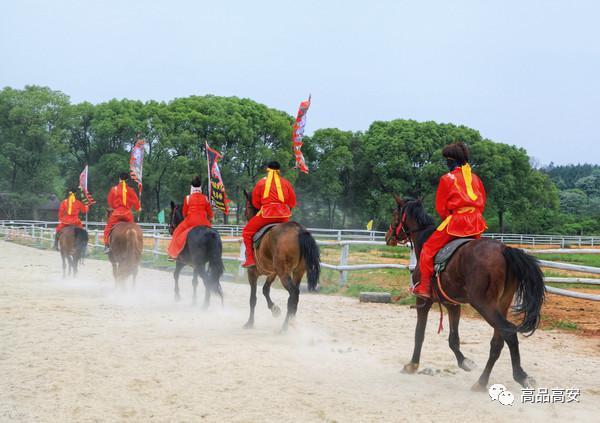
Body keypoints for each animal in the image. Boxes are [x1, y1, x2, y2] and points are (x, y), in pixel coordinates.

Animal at [241, 190, 322, 332]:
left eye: (248, 205)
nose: (245, 215)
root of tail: (299, 230)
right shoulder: (273, 273)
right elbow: (265, 290)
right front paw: (275, 310)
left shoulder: (252, 272)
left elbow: (253, 299)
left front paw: (250, 323)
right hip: (297, 272)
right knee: (295, 296)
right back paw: (291, 322)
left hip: (284, 273)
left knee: (293, 294)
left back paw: (284, 327)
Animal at [386, 197, 548, 392]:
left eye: (395, 214)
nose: (388, 237)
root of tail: (504, 250)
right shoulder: (452, 304)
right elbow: (453, 339)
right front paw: (465, 362)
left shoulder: (423, 301)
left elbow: (420, 333)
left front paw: (412, 365)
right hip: (501, 304)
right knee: (498, 342)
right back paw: (484, 381)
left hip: (484, 304)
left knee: (508, 333)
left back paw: (517, 376)